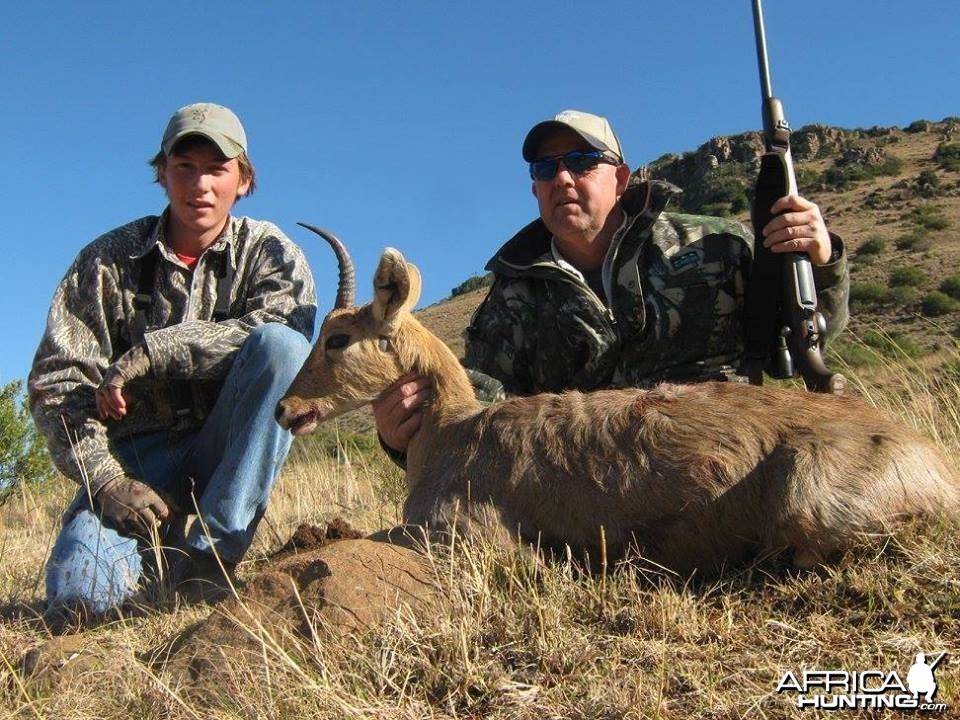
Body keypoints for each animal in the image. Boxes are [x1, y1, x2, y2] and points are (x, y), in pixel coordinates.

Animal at [276, 233, 960, 576]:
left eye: (337, 337)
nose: (285, 410)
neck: (451, 433)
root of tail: (935, 461)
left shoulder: (459, 535)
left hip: (808, 505)